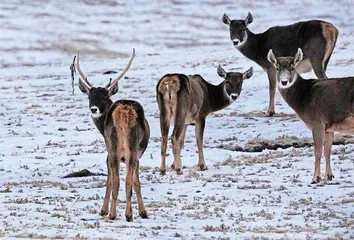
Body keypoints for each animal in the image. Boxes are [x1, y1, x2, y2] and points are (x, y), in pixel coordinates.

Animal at [72, 48, 149, 221]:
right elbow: (136, 182)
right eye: (89, 96)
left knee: (119, 181)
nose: (93, 109)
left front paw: (103, 210)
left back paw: (114, 214)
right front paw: (143, 212)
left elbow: (110, 180)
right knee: (126, 181)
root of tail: (123, 113)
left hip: (115, 147)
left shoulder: (109, 152)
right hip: (131, 149)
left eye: (104, 97)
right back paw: (126, 214)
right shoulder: (137, 156)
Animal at [266, 47, 352, 184]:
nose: (284, 82)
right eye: (277, 68)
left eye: (292, 68)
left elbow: (317, 151)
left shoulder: (317, 122)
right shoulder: (329, 126)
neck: (303, 97)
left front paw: (315, 178)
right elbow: (327, 151)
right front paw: (329, 176)